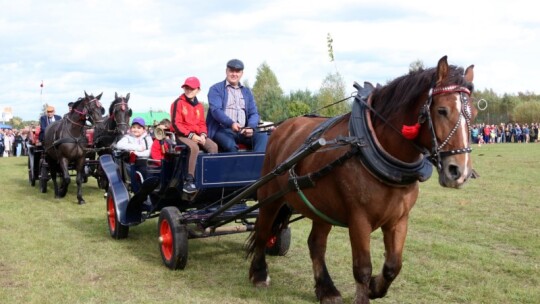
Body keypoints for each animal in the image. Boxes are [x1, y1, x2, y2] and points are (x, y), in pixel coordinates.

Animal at [248, 55, 476, 302]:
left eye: (473, 114)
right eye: (442, 110)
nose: (459, 172)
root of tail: (281, 128)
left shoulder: (399, 218)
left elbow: (393, 265)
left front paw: (375, 287)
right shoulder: (359, 218)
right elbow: (362, 267)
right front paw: (364, 293)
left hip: (321, 206)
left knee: (316, 244)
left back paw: (326, 289)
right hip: (270, 195)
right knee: (262, 230)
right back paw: (259, 274)